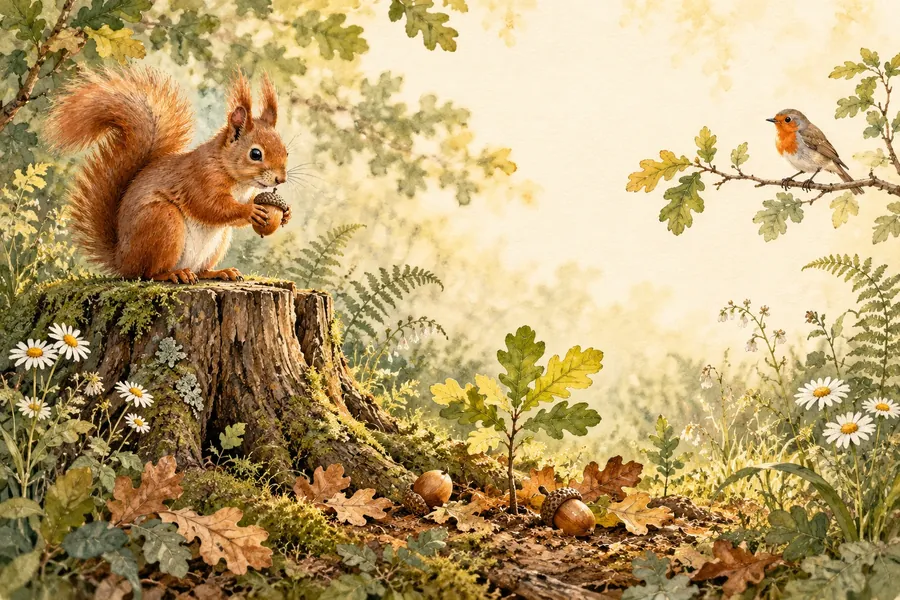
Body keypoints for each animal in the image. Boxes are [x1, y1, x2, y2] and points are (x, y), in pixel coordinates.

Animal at [44, 67, 290, 284]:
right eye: (255, 154)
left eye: (286, 151)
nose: (281, 179)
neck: (236, 179)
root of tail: (122, 260)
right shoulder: (199, 178)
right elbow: (210, 206)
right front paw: (250, 210)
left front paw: (285, 213)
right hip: (163, 221)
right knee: (148, 273)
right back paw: (174, 274)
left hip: (216, 243)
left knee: (199, 271)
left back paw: (219, 272)